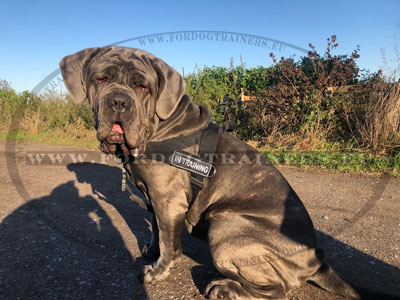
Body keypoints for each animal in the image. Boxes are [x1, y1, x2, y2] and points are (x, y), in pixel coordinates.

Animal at [61, 47, 396, 300]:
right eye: (101, 79)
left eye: (143, 87)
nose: (118, 101)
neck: (158, 127)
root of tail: (318, 260)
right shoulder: (153, 199)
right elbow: (156, 230)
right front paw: (150, 251)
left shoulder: (169, 202)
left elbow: (170, 245)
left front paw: (156, 273)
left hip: (226, 227)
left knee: (279, 289)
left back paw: (224, 288)